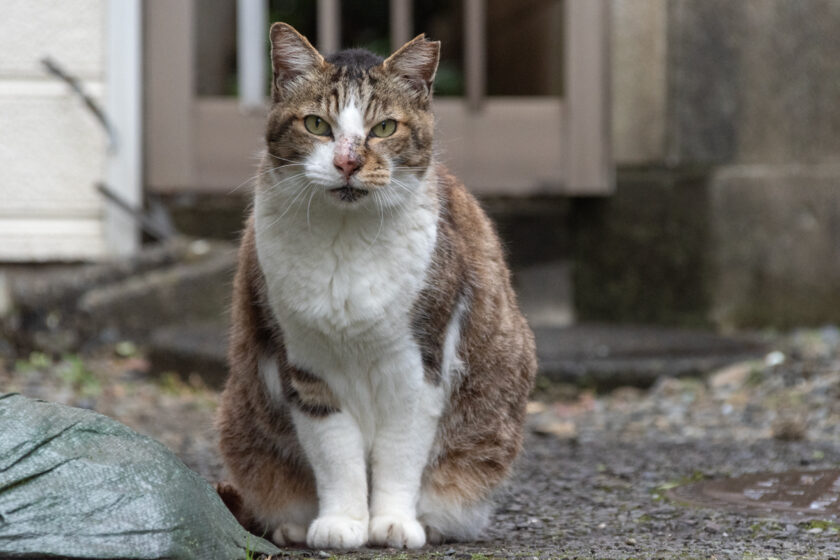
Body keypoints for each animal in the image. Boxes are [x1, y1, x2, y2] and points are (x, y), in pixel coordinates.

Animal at [218, 24, 540, 548]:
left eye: (384, 129)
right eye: (317, 125)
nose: (348, 162)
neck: (346, 244)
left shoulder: (420, 365)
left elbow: (399, 455)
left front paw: (391, 523)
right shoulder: (306, 369)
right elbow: (336, 454)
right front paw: (342, 523)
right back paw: (292, 525)